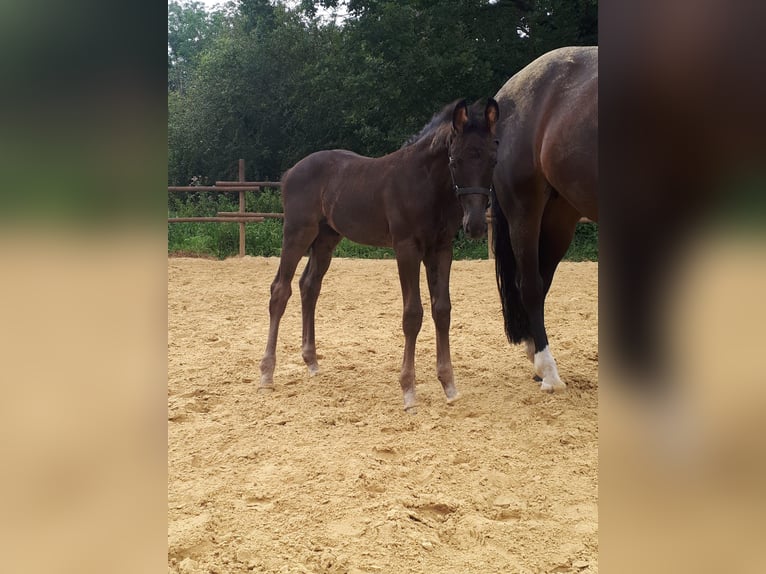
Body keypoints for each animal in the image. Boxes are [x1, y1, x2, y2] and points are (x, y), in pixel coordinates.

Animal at [258, 100, 500, 414]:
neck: (425, 183)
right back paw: (267, 372)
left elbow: (442, 310)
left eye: (492, 160)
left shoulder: (441, 249)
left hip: (326, 239)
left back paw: (311, 361)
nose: (476, 226)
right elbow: (413, 314)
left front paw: (449, 385)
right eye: (455, 161)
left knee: (309, 286)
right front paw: (408, 391)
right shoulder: (406, 249)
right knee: (280, 290)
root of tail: (290, 172)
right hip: (297, 233)